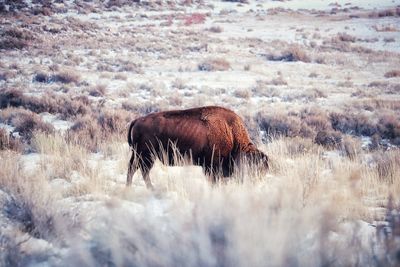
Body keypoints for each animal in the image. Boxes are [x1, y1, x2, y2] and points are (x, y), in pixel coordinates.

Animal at [126, 105, 268, 189]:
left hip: (140, 155)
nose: (257, 183)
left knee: (134, 169)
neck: (231, 133)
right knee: (141, 170)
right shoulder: (211, 167)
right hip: (146, 156)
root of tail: (137, 120)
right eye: (254, 167)